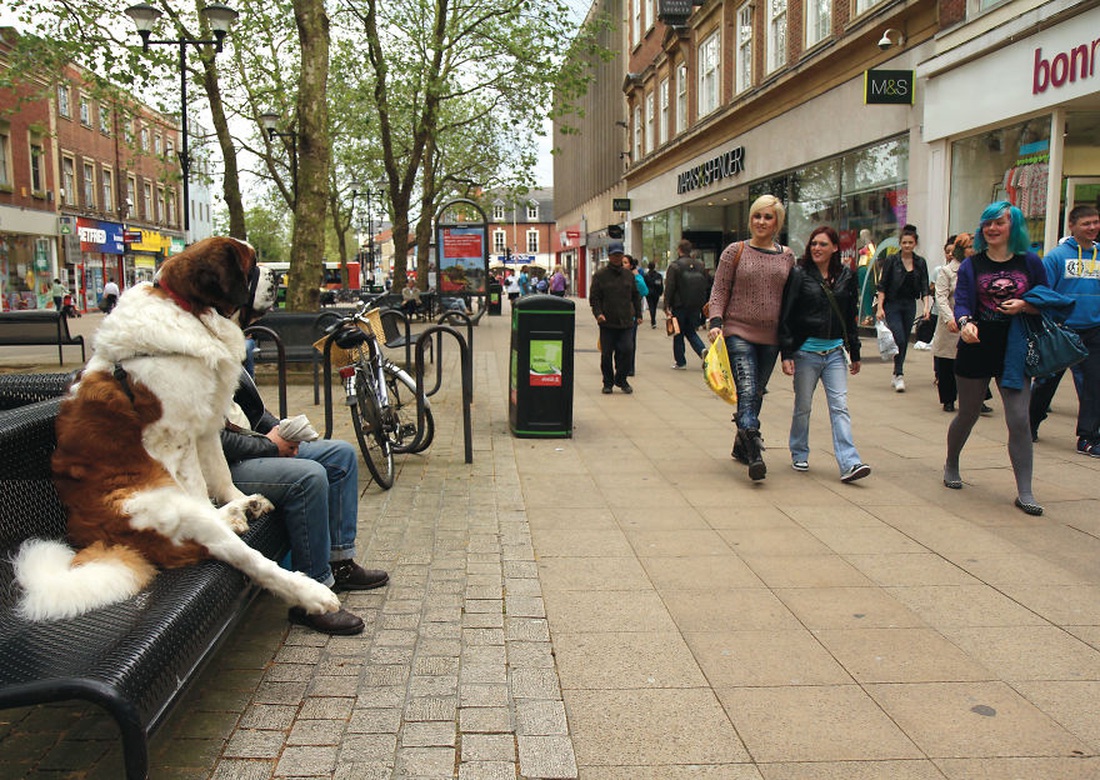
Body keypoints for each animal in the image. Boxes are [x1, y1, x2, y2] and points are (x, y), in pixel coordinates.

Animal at [12, 235, 338, 620]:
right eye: (251, 265)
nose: (275, 276)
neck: (193, 313)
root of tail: (91, 535)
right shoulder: (176, 437)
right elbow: (197, 484)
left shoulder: (206, 424)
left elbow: (221, 472)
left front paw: (236, 499)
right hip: (164, 507)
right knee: (239, 551)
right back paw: (311, 591)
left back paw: (241, 510)